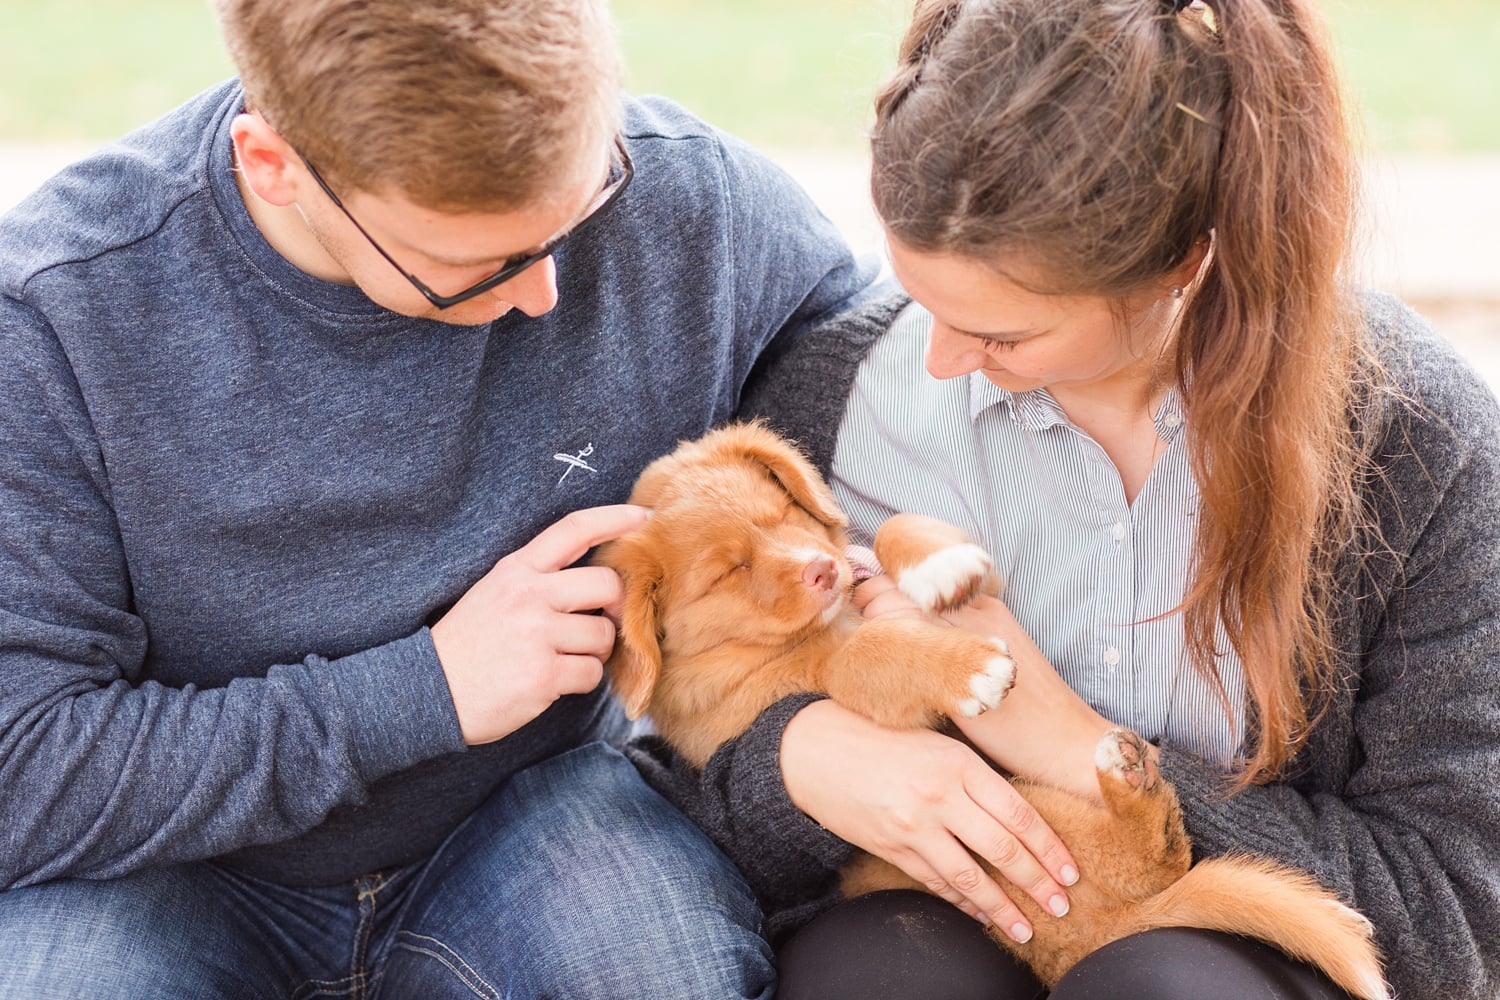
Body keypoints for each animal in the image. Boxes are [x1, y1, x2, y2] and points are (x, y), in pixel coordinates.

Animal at [591, 425, 1386, 1000]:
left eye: (783, 509)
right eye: (727, 572)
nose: (820, 571)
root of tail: (1106, 934)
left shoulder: (870, 566)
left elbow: (889, 534)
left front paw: (942, 568)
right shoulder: (773, 696)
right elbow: (864, 655)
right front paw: (968, 669)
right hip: (1036, 831)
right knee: (1157, 858)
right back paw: (1132, 786)